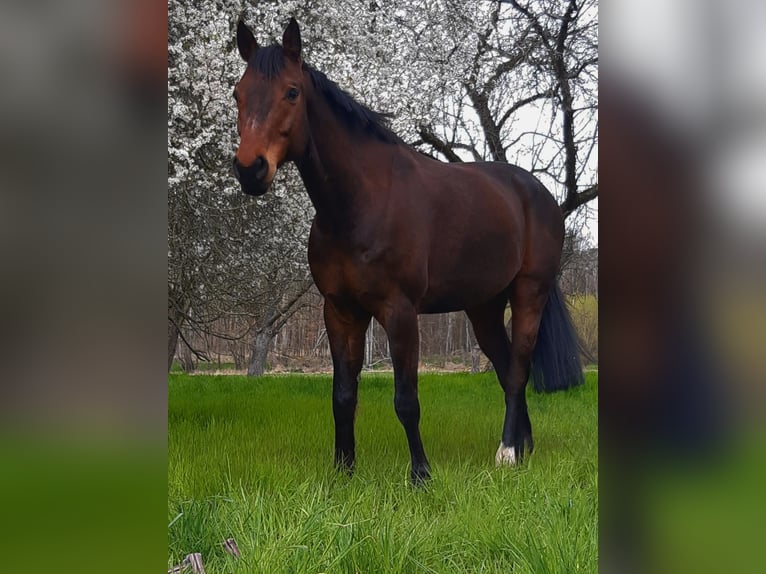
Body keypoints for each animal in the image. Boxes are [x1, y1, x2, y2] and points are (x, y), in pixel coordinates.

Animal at [231, 18, 584, 484]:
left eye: (291, 92)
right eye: (238, 93)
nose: (250, 169)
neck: (360, 204)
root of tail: (537, 192)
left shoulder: (399, 312)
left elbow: (406, 400)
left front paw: (421, 475)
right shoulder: (340, 311)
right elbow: (343, 395)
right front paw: (343, 472)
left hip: (530, 294)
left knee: (517, 370)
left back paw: (507, 452)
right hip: (484, 307)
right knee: (508, 366)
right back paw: (523, 448)